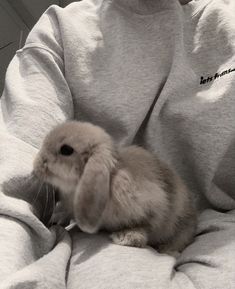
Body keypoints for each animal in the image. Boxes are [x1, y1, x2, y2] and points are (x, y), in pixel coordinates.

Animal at [33, 120, 196, 251]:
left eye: (66, 150)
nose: (36, 167)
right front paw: (57, 217)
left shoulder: (152, 206)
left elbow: (145, 225)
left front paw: (126, 237)